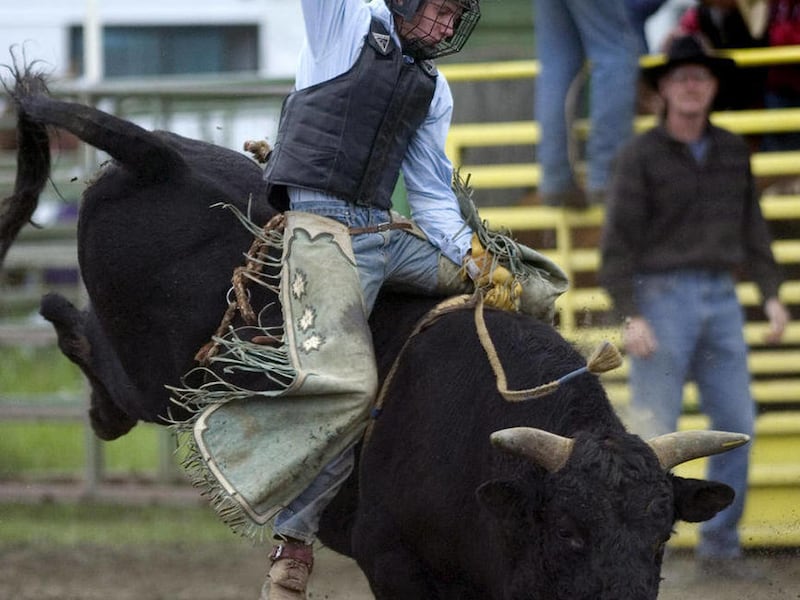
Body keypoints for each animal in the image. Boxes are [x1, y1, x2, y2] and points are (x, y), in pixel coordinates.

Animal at [1, 65, 744, 599]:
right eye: (569, 531)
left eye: (660, 536)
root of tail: (162, 158)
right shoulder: (395, 566)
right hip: (152, 375)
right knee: (82, 339)